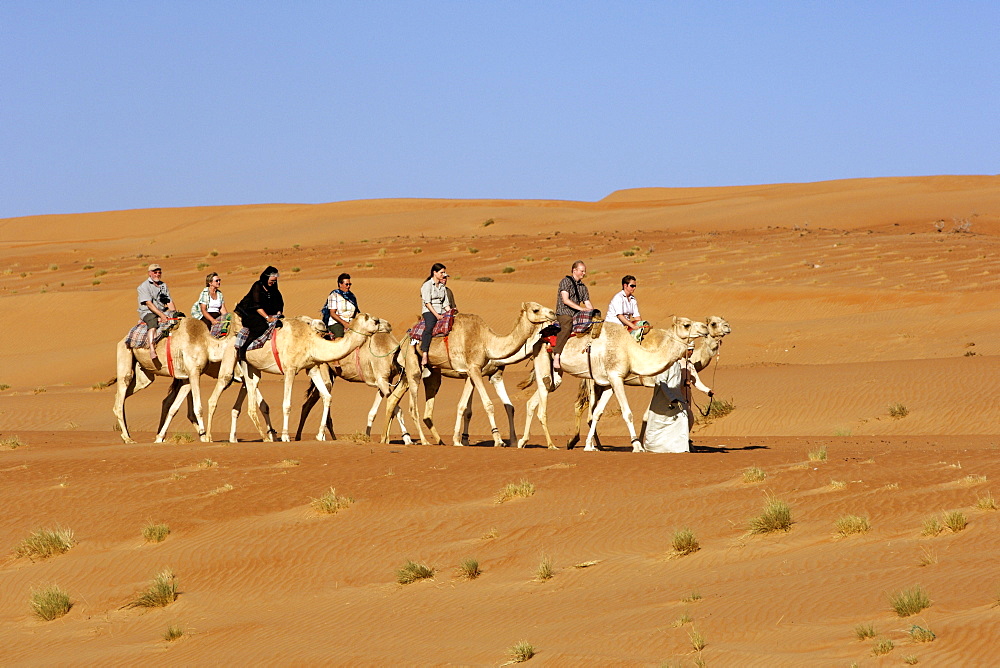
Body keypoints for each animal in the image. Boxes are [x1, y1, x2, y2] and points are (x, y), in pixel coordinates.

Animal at [235, 312, 390, 440]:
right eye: (375, 320)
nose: (388, 325)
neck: (309, 342)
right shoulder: (290, 370)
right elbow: (287, 404)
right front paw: (285, 436)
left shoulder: (312, 368)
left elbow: (327, 397)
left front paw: (320, 435)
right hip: (244, 363)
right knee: (250, 392)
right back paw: (263, 437)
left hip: (254, 368)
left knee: (253, 388)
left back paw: (268, 436)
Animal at [386, 302, 556, 448]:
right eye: (536, 309)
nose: (553, 313)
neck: (487, 341)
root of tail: (404, 340)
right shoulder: (475, 369)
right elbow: (488, 405)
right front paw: (498, 440)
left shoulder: (476, 372)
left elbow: (465, 407)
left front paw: (458, 440)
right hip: (413, 366)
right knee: (412, 407)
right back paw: (423, 441)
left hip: (426, 373)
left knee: (395, 399)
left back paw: (390, 439)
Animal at [556, 316, 712, 452]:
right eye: (686, 325)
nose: (705, 328)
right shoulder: (621, 378)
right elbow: (631, 414)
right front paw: (638, 446)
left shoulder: (611, 381)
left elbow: (599, 413)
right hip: (590, 383)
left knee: (587, 410)